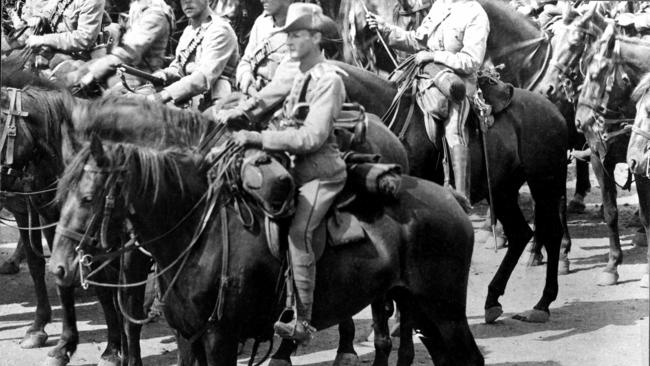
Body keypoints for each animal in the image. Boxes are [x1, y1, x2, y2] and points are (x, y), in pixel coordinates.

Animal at [50, 127, 484, 364]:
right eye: (59, 192)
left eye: (88, 197)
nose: (58, 267)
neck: (196, 235)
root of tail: (451, 199)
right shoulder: (188, 337)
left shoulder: (220, 338)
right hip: (420, 308)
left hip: (446, 312)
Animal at [572, 24, 648, 288]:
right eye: (582, 73)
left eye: (596, 75)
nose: (579, 121)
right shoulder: (599, 160)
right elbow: (610, 212)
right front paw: (612, 265)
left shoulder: (642, 165)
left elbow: (646, 215)